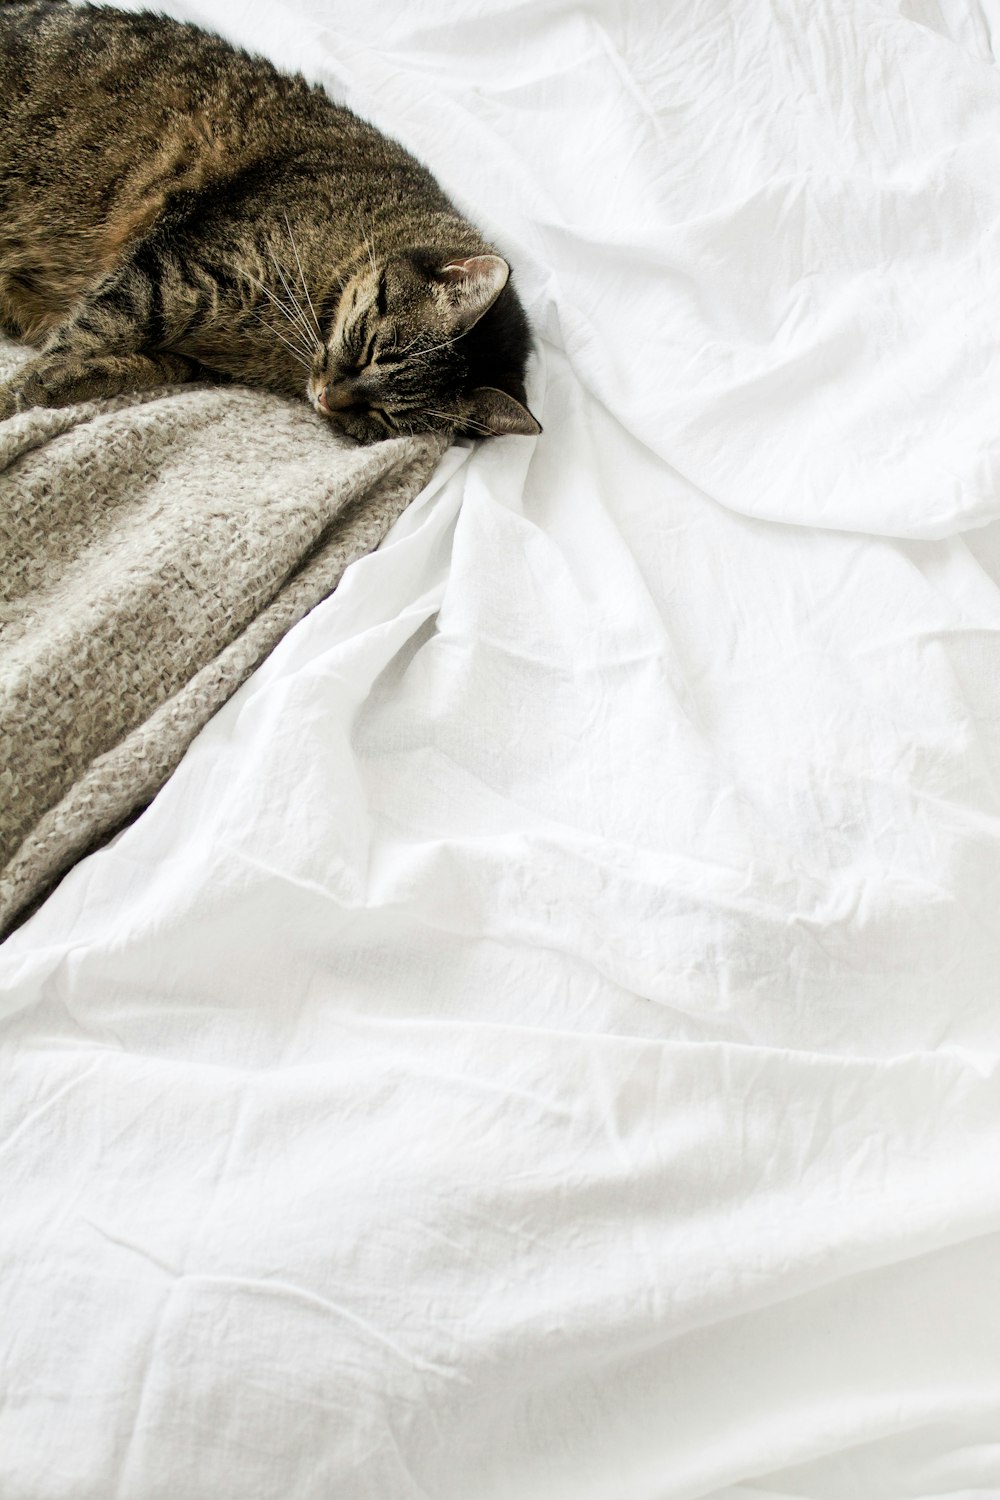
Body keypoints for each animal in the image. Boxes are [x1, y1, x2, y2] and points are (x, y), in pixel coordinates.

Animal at [0, 1, 539, 444]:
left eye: (385, 416)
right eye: (370, 350)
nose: (326, 398)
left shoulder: (187, 346)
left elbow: (137, 362)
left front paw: (60, 381)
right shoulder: (175, 274)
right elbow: (87, 331)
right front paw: (19, 394)